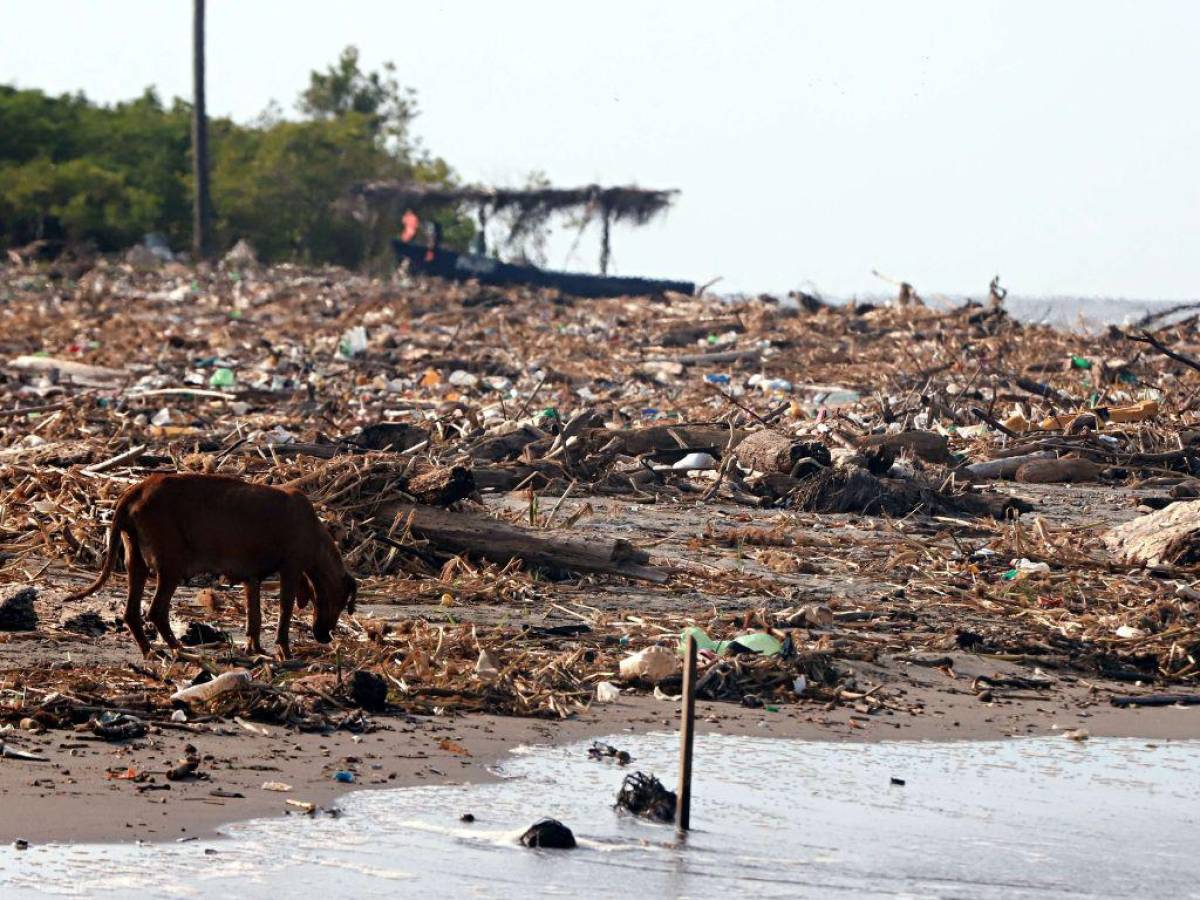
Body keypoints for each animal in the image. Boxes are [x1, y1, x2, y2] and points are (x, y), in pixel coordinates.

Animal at [67, 475, 355, 657]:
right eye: (340, 603)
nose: (325, 637)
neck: (315, 533)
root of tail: (136, 490)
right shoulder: (291, 569)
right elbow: (284, 611)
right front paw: (284, 649)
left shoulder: (252, 579)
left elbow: (255, 616)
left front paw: (255, 648)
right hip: (171, 567)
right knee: (157, 611)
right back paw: (178, 649)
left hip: (136, 562)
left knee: (132, 613)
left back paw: (150, 650)